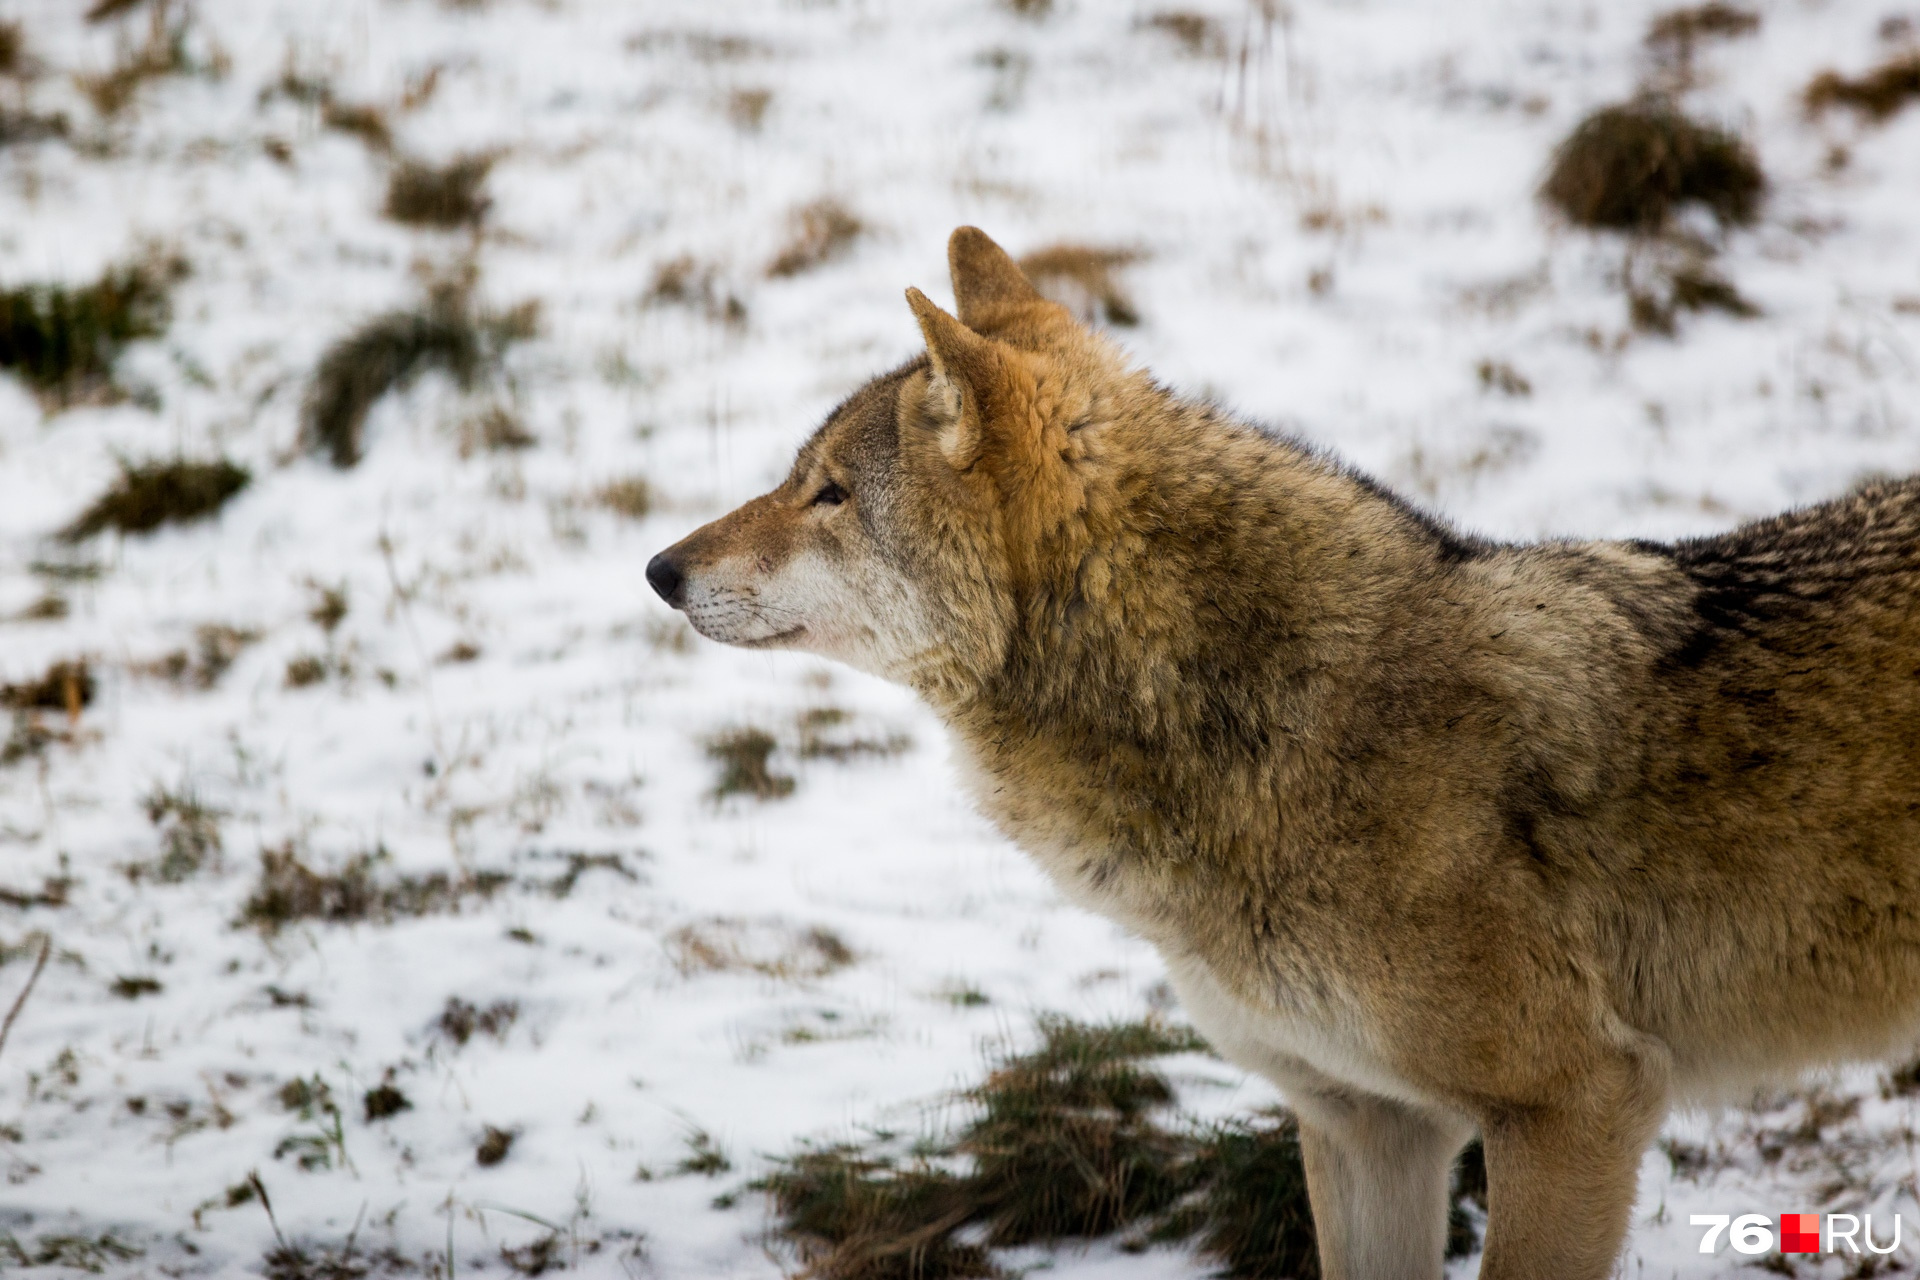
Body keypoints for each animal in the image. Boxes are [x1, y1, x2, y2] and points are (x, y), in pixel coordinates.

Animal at [648, 230, 1920, 1280]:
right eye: (797, 477)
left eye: (828, 493)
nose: (659, 568)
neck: (1267, 719)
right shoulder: (1369, 1124)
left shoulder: (1579, 1104)